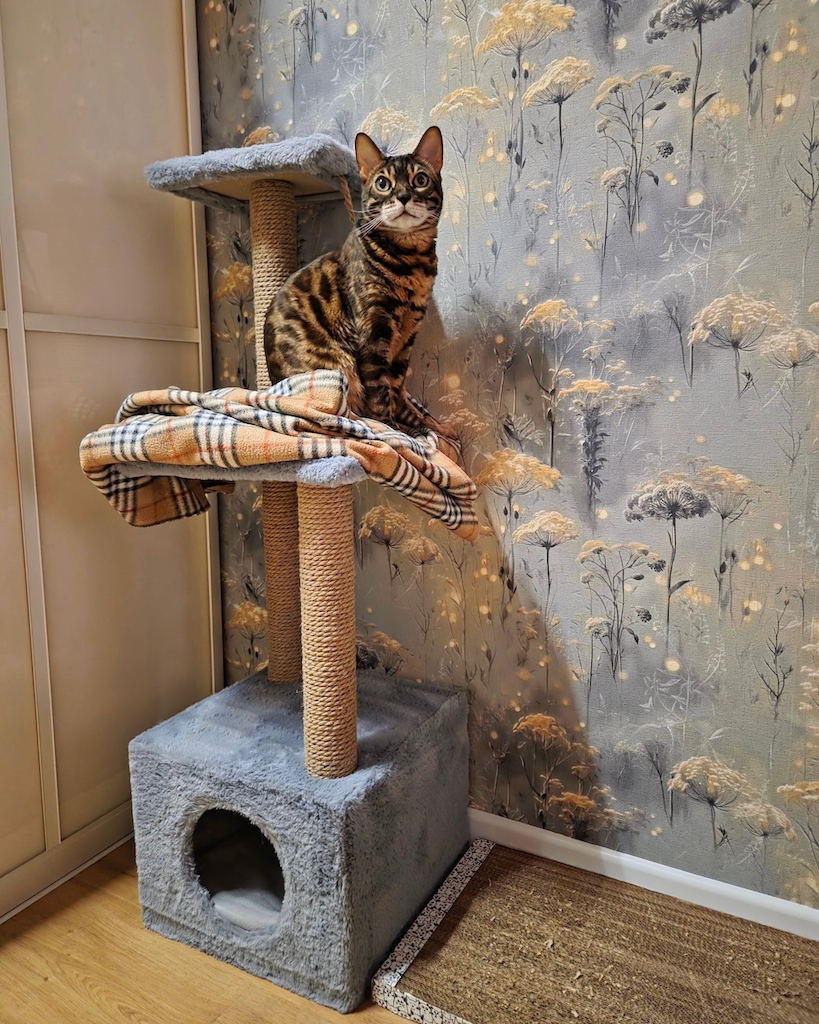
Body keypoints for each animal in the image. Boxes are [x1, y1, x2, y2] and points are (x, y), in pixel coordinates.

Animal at [263, 125, 457, 451]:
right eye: (383, 183)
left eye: (419, 180)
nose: (403, 196)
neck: (412, 262)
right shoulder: (373, 332)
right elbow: (380, 394)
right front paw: (397, 431)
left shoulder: (406, 337)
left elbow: (396, 389)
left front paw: (424, 427)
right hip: (337, 370)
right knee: (355, 409)